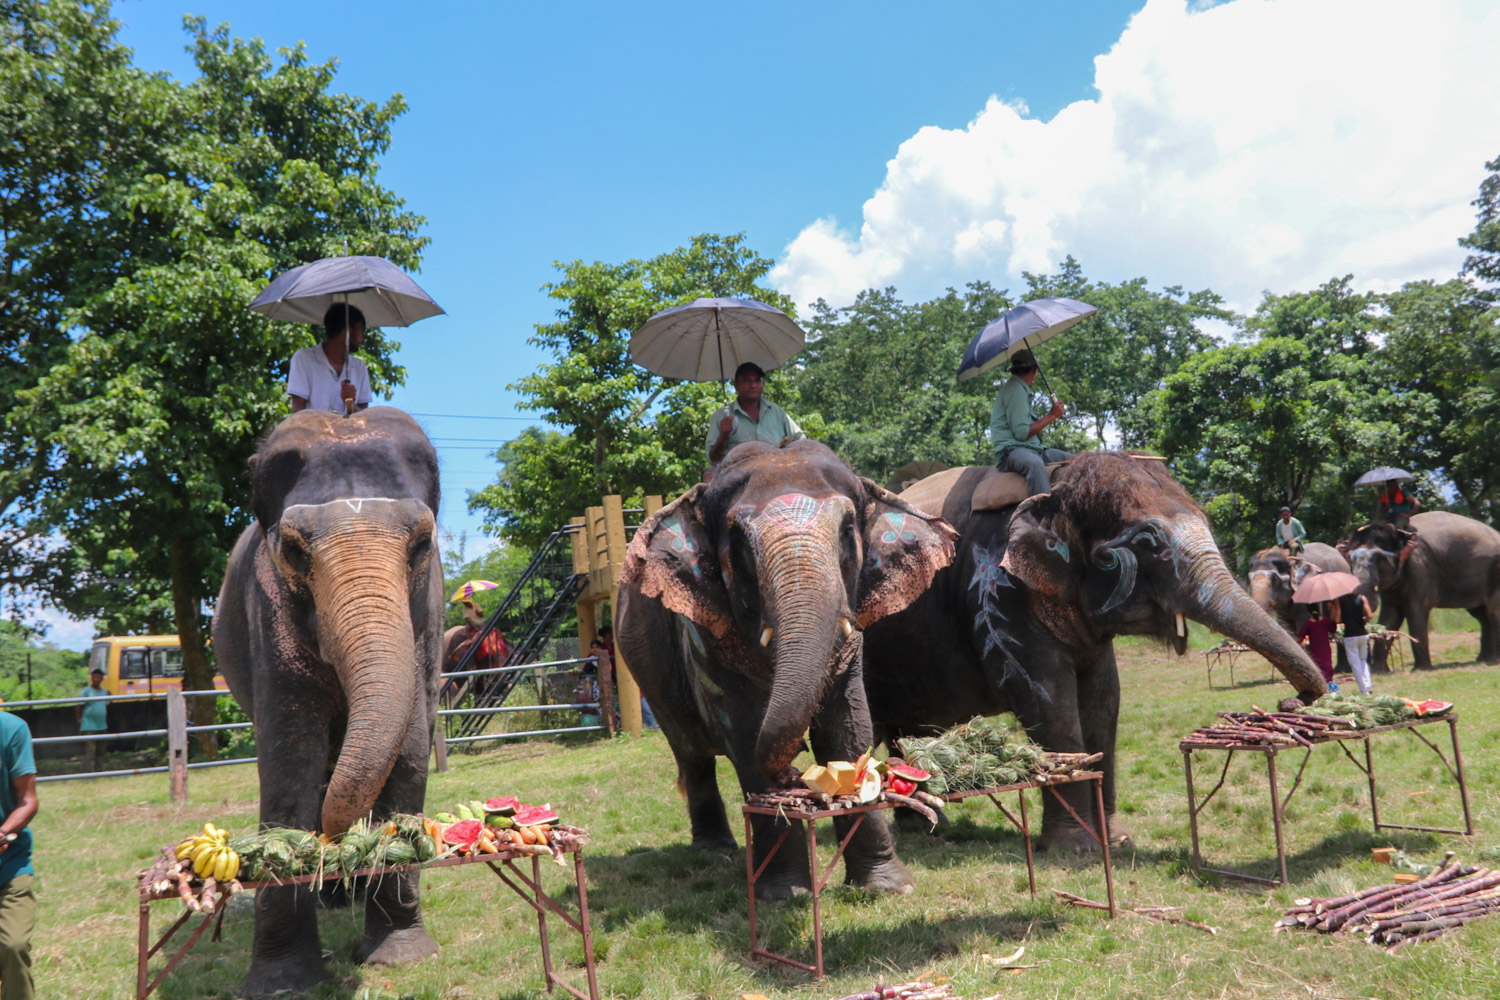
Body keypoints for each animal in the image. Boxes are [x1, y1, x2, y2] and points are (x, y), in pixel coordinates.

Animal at [214, 408, 445, 996]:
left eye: (421, 545)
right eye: (294, 550)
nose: (331, 842)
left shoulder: (425, 621)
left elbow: (410, 752)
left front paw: (399, 956)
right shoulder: (266, 611)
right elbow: (289, 761)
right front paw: (283, 981)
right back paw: (335, 897)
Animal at [614, 440, 957, 899]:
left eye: (847, 531)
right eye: (738, 542)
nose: (794, 769)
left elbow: (848, 729)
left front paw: (886, 888)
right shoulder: (704, 631)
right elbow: (744, 731)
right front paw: (782, 895)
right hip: (645, 668)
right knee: (691, 753)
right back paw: (714, 849)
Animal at [862, 452, 1328, 851]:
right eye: (1147, 542)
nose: (1292, 700)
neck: (1059, 484)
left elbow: (1104, 699)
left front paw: (1117, 840)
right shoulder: (995, 591)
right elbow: (1048, 699)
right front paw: (1075, 849)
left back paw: (925, 826)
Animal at [1344, 511, 1500, 671]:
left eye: (1379, 558)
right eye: (1349, 558)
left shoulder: (1421, 569)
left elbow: (1415, 612)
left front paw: (1421, 669)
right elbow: (1389, 616)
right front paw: (1379, 671)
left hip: (1495, 570)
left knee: (1493, 612)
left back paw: (1493, 660)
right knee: (1482, 614)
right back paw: (1485, 659)